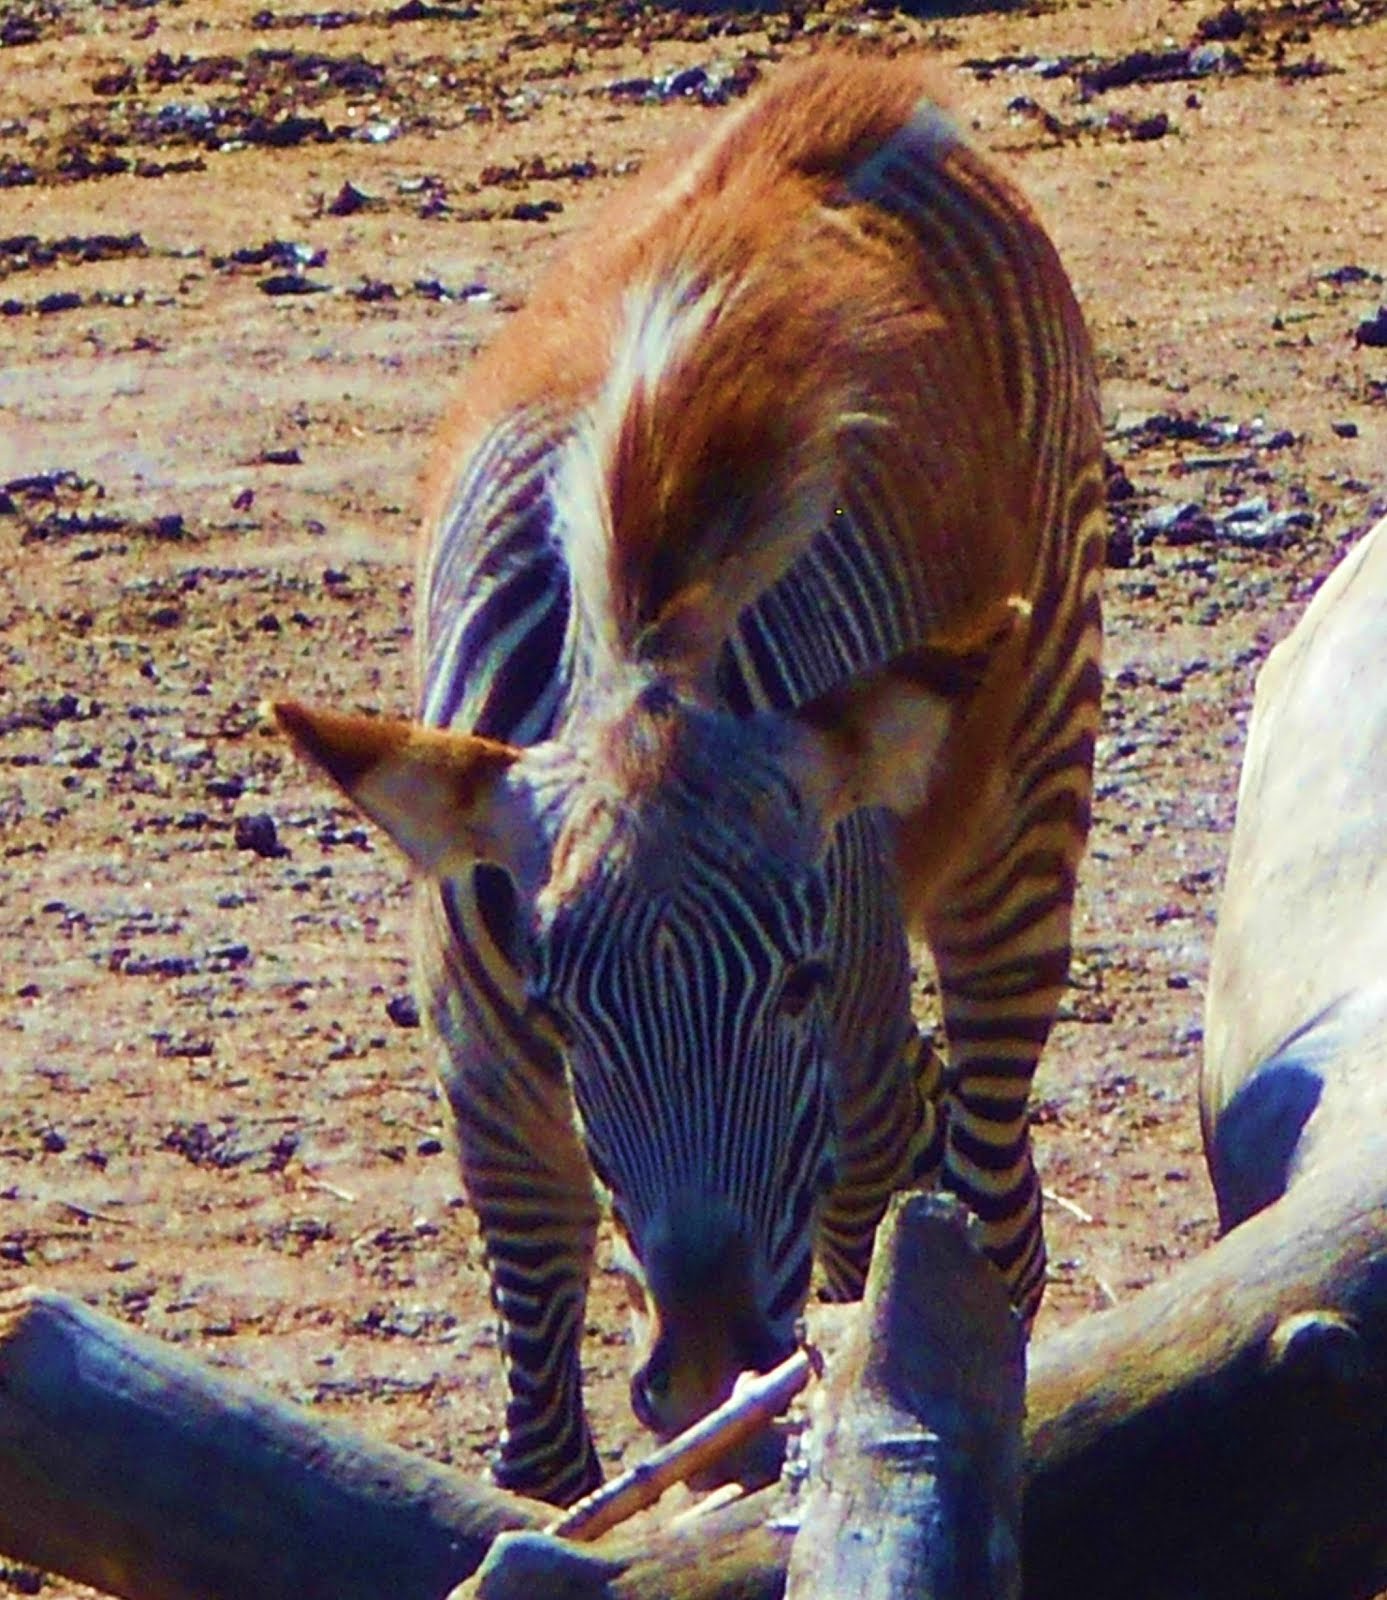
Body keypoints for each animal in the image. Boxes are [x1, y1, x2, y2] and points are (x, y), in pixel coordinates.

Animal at [276, 50, 1107, 1497]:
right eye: (557, 1017)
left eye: (796, 983)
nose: (706, 1354)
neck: (642, 623)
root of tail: (849, 87)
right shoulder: (487, 1093)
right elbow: (549, 1454)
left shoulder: (845, 1064)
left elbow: (836, 1352)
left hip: (1027, 793)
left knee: (989, 1180)